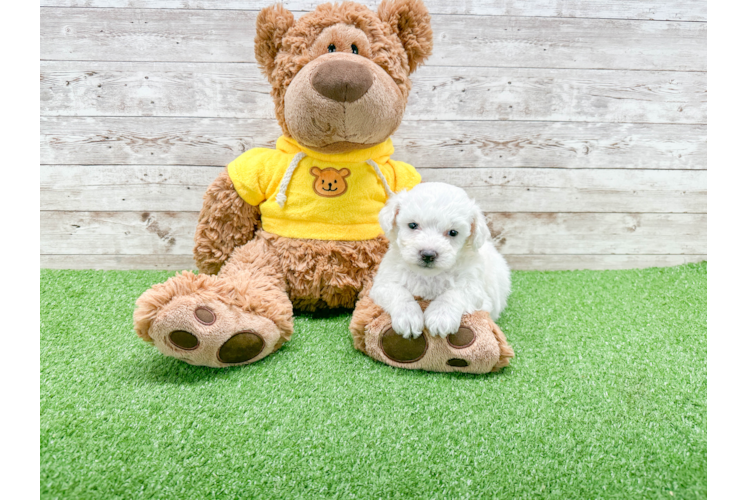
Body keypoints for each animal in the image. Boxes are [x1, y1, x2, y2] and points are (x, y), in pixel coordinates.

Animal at [372, 183, 512, 340]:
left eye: (453, 232)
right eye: (412, 225)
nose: (428, 254)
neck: (428, 276)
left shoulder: (476, 289)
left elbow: (455, 293)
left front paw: (440, 316)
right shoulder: (384, 283)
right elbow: (398, 291)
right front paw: (408, 317)